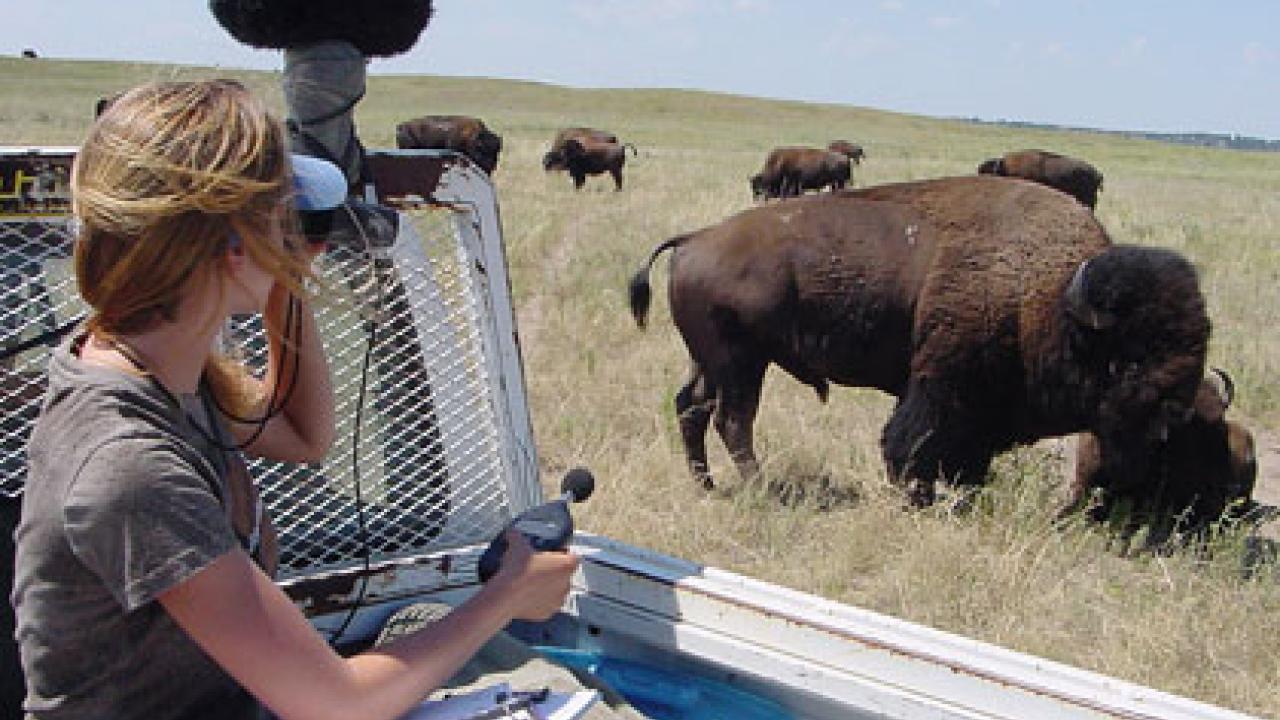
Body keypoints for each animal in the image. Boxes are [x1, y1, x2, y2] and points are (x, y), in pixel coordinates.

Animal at [629, 175, 1210, 509]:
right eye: (1126, 360)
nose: (1172, 414)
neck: (1046, 295)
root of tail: (695, 238)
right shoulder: (941, 388)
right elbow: (911, 444)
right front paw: (917, 499)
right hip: (741, 362)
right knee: (732, 420)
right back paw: (762, 490)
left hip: (710, 361)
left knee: (691, 409)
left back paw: (707, 486)